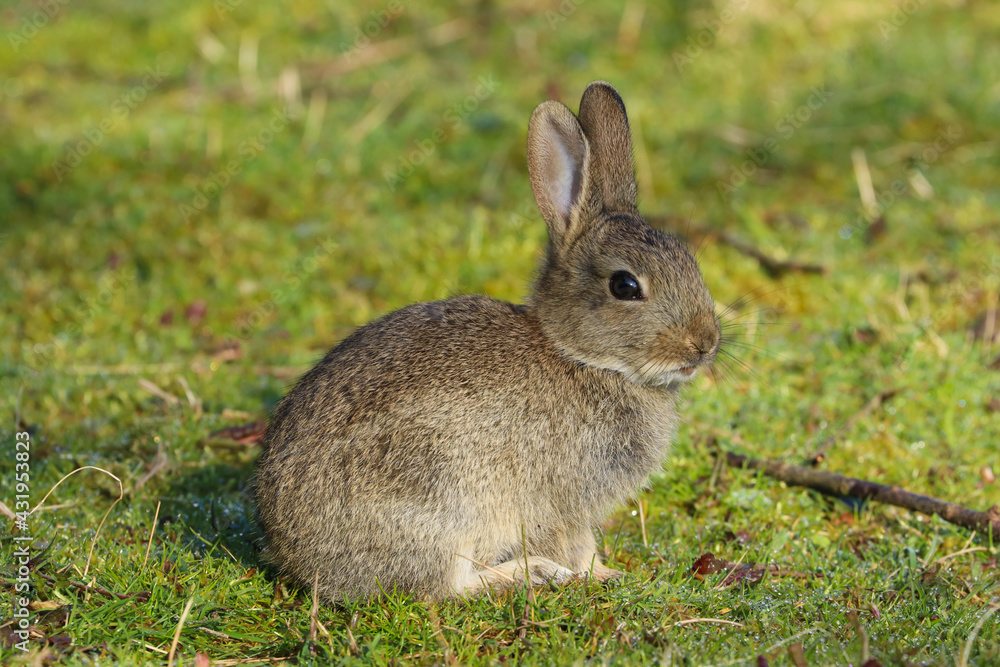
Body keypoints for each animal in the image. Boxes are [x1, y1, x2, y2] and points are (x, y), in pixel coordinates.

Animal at [253, 81, 721, 601]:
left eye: (688, 260)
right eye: (625, 286)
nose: (705, 343)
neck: (581, 357)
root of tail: (294, 555)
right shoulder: (561, 500)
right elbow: (576, 544)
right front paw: (603, 574)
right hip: (443, 504)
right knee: (443, 587)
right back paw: (531, 572)